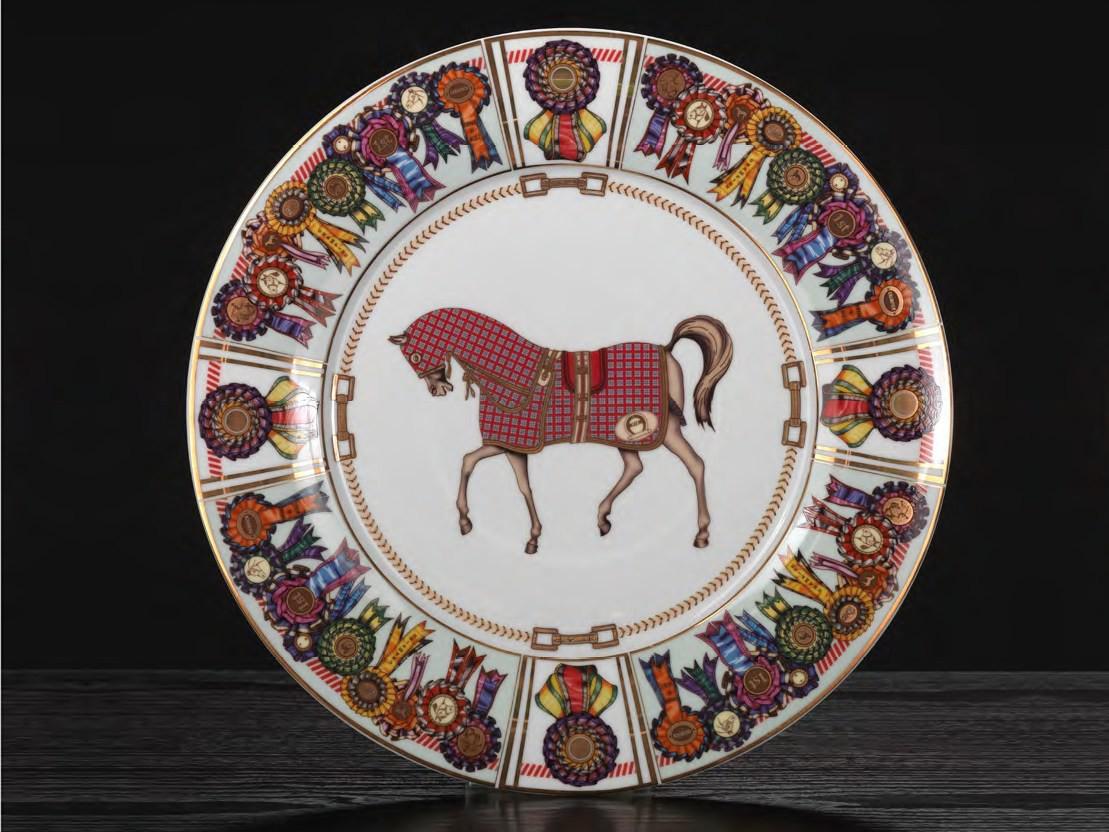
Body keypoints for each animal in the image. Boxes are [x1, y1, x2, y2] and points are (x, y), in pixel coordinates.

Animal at [389, 308, 733, 554]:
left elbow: (484, 469)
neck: (511, 376)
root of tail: (666, 348)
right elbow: (485, 469)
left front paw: (489, 526)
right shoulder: (509, 445)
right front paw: (505, 530)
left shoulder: (510, 443)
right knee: (635, 467)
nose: (438, 389)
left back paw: (702, 533)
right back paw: (603, 518)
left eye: (415, 355)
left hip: (667, 430)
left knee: (695, 465)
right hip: (625, 437)